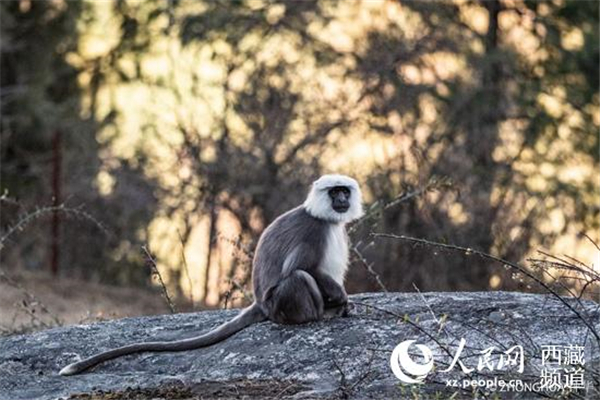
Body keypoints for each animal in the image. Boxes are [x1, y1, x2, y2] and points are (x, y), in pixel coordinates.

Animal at [58, 174, 364, 376]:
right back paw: (320, 315)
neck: (325, 219)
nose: (341, 199)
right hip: (280, 304)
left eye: (344, 192)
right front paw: (341, 299)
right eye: (334, 192)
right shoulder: (314, 231)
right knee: (298, 277)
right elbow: (301, 268)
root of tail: (260, 303)